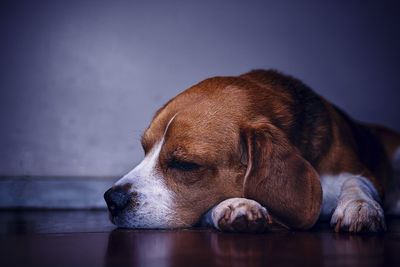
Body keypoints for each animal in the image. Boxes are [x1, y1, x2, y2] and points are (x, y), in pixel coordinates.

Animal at [104, 70, 400, 233]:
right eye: (145, 149)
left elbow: (357, 183)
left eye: (185, 165)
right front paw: (236, 205)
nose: (111, 200)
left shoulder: (357, 170)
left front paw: (359, 207)